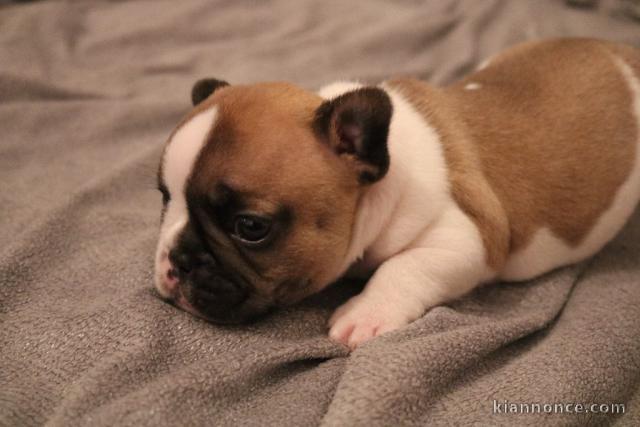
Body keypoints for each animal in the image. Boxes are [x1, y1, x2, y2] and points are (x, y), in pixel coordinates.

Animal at [154, 38, 640, 350]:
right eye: (164, 197)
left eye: (251, 227)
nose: (177, 259)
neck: (381, 185)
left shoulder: (465, 239)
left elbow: (403, 268)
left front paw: (364, 315)